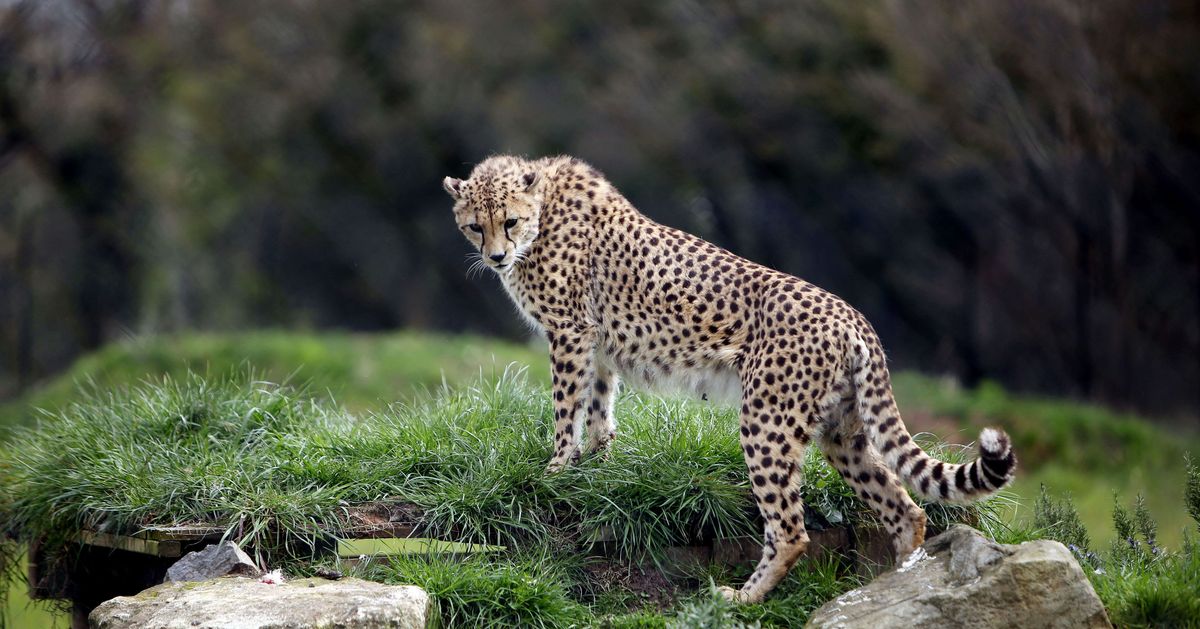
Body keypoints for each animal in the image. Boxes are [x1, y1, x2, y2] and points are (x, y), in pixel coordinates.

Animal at [446, 154, 1017, 602]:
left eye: (510, 222)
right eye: (476, 226)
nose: (495, 256)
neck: (542, 209)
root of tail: (852, 315)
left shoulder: (570, 332)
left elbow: (567, 409)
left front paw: (556, 471)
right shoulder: (597, 344)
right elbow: (600, 409)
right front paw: (598, 469)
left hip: (766, 419)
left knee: (791, 530)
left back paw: (743, 598)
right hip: (843, 430)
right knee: (904, 508)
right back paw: (897, 585)